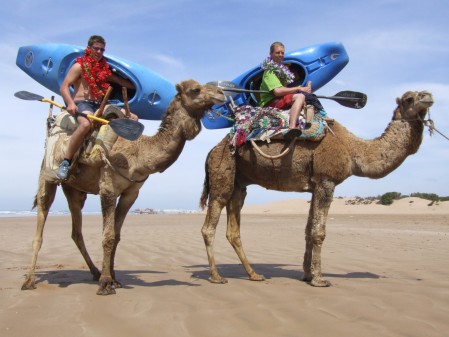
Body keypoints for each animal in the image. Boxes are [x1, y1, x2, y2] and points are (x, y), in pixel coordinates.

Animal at [21, 79, 224, 294]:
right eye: (195, 89)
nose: (221, 93)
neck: (139, 152)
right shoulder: (108, 188)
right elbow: (108, 235)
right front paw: (106, 284)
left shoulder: (130, 193)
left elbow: (116, 235)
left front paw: (113, 279)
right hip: (47, 177)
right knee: (41, 223)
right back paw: (29, 280)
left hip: (74, 190)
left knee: (76, 232)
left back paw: (94, 272)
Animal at [200, 90, 434, 286]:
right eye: (409, 99)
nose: (428, 96)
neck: (353, 150)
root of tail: (212, 150)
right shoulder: (326, 181)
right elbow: (319, 232)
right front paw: (319, 279)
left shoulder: (314, 186)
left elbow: (308, 230)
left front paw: (307, 274)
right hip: (223, 173)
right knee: (209, 225)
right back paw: (216, 276)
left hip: (239, 183)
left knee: (233, 230)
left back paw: (254, 274)